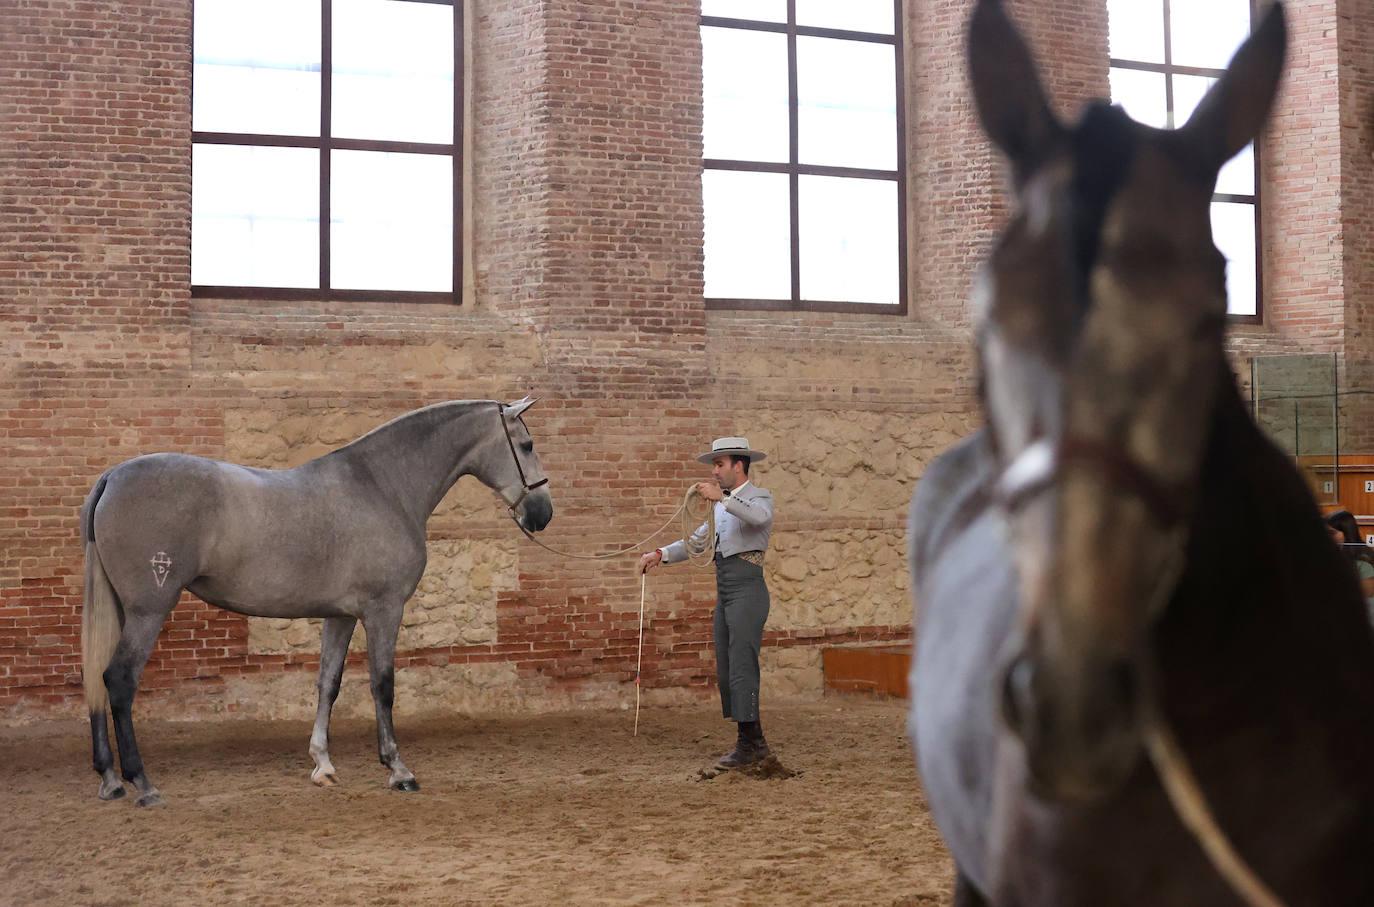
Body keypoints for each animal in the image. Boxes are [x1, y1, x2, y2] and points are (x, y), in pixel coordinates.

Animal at [80, 393, 549, 802]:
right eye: (526, 445)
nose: (542, 513)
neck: (383, 487)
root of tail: (113, 476)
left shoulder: (340, 616)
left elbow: (329, 682)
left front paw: (322, 765)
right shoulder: (384, 610)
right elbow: (383, 685)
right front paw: (397, 769)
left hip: (121, 609)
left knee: (98, 680)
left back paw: (110, 779)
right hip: (149, 609)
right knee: (118, 679)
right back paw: (142, 783)